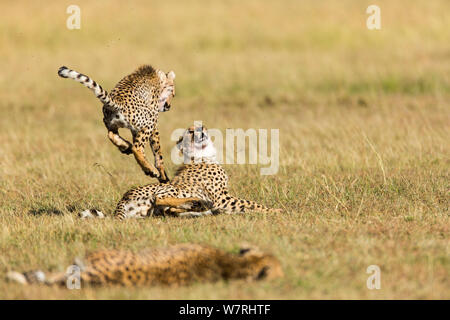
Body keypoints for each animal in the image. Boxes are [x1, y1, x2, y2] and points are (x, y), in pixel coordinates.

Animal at [81, 124, 282, 219]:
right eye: (190, 132)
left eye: (199, 127)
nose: (200, 129)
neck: (201, 155)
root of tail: (123, 199)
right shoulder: (222, 197)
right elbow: (251, 203)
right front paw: (275, 210)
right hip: (175, 189)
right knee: (162, 200)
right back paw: (198, 204)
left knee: (170, 210)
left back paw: (199, 208)